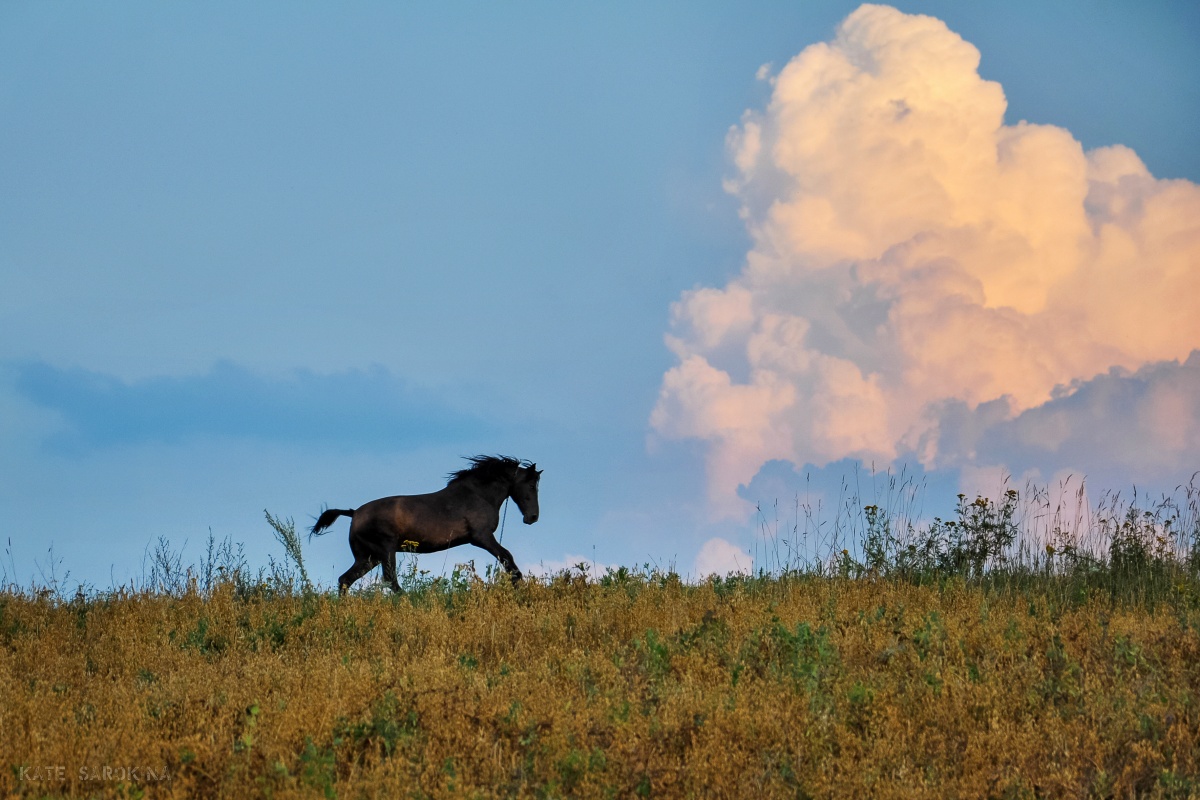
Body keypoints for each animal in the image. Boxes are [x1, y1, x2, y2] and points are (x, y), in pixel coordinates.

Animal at [307, 455, 542, 594]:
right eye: (531, 485)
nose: (532, 517)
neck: (478, 495)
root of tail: (354, 513)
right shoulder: (481, 537)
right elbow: (507, 557)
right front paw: (518, 582)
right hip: (385, 550)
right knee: (389, 579)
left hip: (368, 557)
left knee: (345, 579)